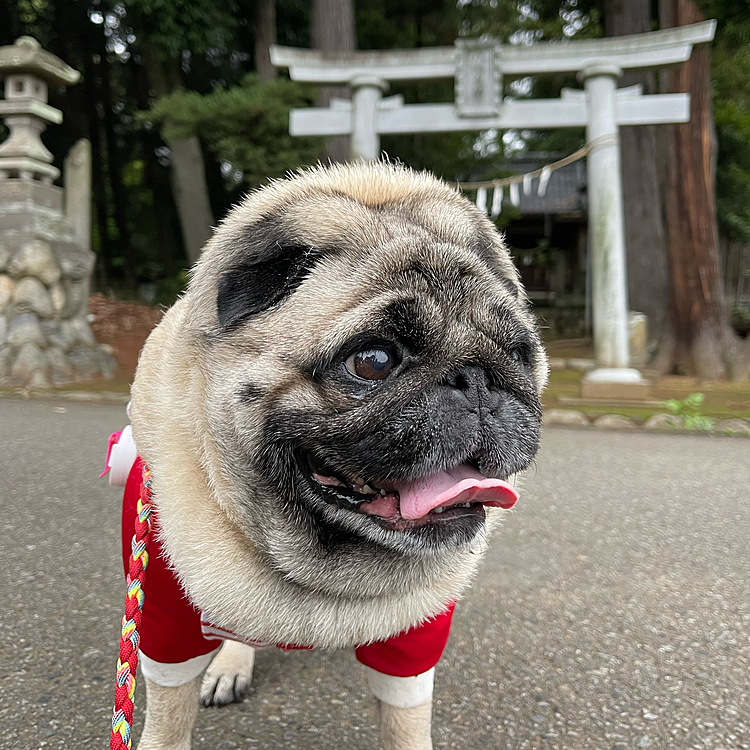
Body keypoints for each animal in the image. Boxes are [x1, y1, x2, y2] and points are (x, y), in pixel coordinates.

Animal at [126, 162, 548, 748]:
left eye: (519, 355)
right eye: (372, 360)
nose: (477, 380)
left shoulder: (415, 638)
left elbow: (405, 722)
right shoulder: (164, 611)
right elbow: (168, 718)